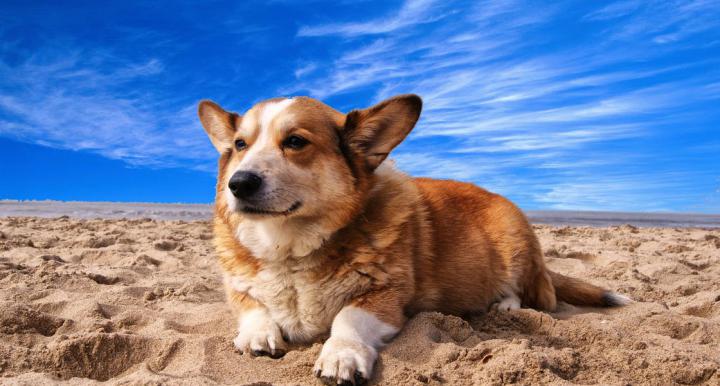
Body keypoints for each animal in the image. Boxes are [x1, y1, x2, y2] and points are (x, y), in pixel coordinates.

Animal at [198, 94, 632, 386]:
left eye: (295, 142)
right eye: (240, 145)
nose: (239, 184)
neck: (289, 246)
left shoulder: (385, 299)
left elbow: (347, 318)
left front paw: (340, 355)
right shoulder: (238, 287)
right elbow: (253, 307)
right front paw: (258, 333)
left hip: (514, 242)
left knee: (525, 291)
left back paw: (505, 307)